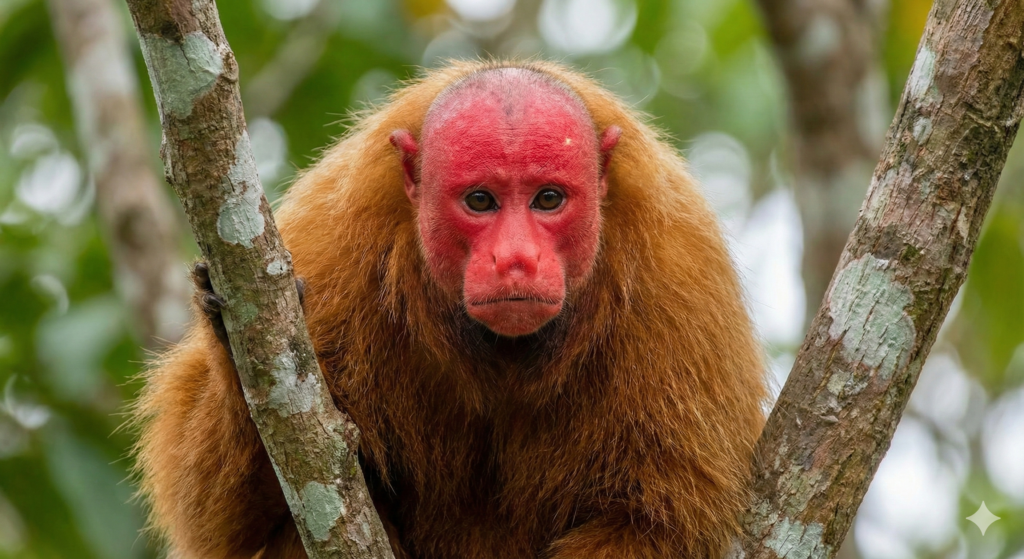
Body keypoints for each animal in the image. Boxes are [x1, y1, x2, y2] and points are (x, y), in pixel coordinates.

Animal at [133, 60, 768, 559]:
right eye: (480, 201)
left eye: (549, 199)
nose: (516, 259)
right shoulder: (328, 248)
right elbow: (224, 523)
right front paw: (227, 332)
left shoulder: (681, 285)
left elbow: (654, 524)